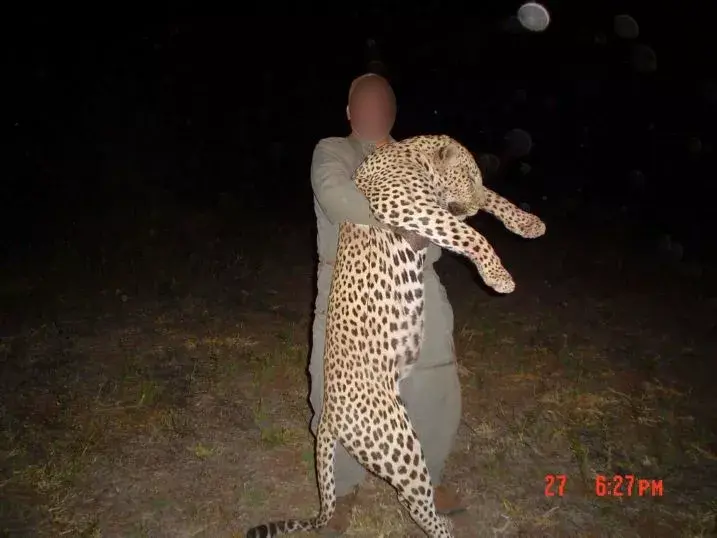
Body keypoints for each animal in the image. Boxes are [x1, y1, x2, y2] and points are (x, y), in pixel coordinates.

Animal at [246, 135, 546, 538]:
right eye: (467, 176)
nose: (468, 206)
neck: (413, 156)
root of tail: (328, 415)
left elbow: (494, 199)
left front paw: (528, 223)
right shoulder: (411, 208)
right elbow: (471, 234)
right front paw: (498, 276)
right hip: (397, 442)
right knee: (414, 500)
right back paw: (444, 529)